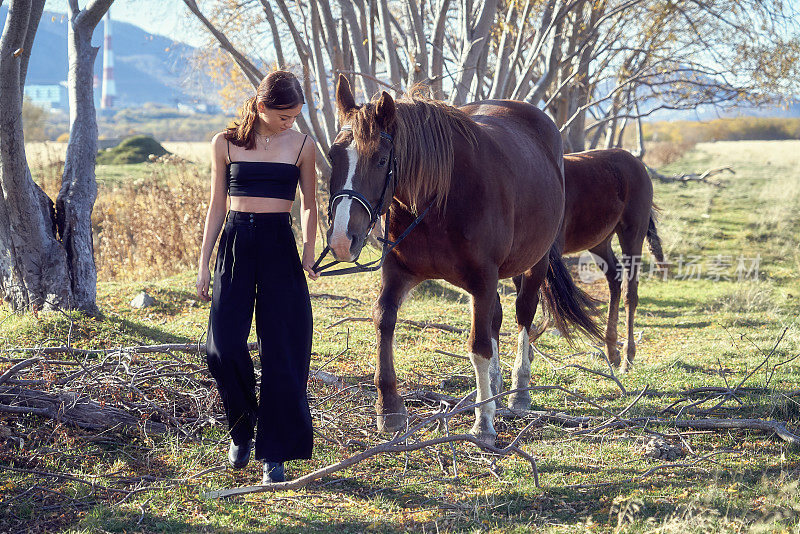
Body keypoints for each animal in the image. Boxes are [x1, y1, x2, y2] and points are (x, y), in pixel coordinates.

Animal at [322, 74, 604, 444]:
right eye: (333, 156)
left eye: (381, 160)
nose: (342, 239)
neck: (439, 198)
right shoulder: (399, 272)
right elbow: (384, 320)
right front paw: (390, 409)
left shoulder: (481, 279)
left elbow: (478, 346)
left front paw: (483, 423)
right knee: (496, 317)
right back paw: (496, 385)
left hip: (535, 263)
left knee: (522, 316)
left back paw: (517, 392)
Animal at [510, 151, 664, 410]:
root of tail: (635, 162)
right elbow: (526, 298)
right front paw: (527, 352)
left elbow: (535, 299)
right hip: (599, 242)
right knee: (614, 280)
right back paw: (611, 350)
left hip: (632, 234)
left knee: (630, 292)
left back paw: (627, 357)